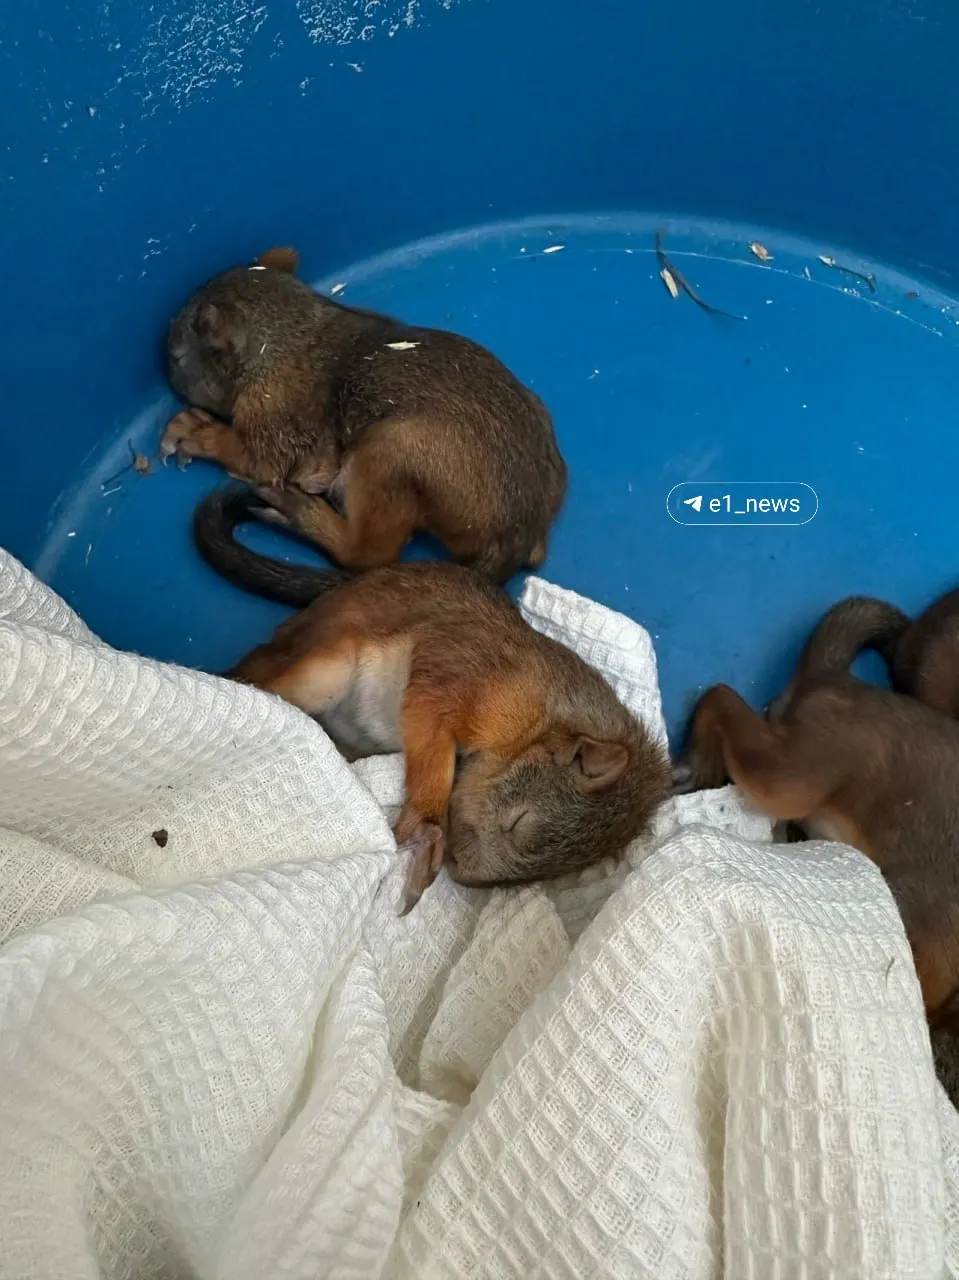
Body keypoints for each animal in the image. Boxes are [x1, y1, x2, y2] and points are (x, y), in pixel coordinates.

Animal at [162, 246, 567, 583]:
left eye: (177, 357)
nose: (165, 367)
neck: (290, 336)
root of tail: (518, 536)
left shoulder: (277, 412)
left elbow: (259, 458)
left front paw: (196, 432)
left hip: (395, 453)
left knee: (368, 555)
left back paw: (303, 513)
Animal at [196, 486, 670, 911]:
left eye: (547, 874)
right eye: (518, 822)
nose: (460, 869)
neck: (541, 717)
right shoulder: (465, 676)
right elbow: (430, 729)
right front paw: (426, 824)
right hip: (320, 672)